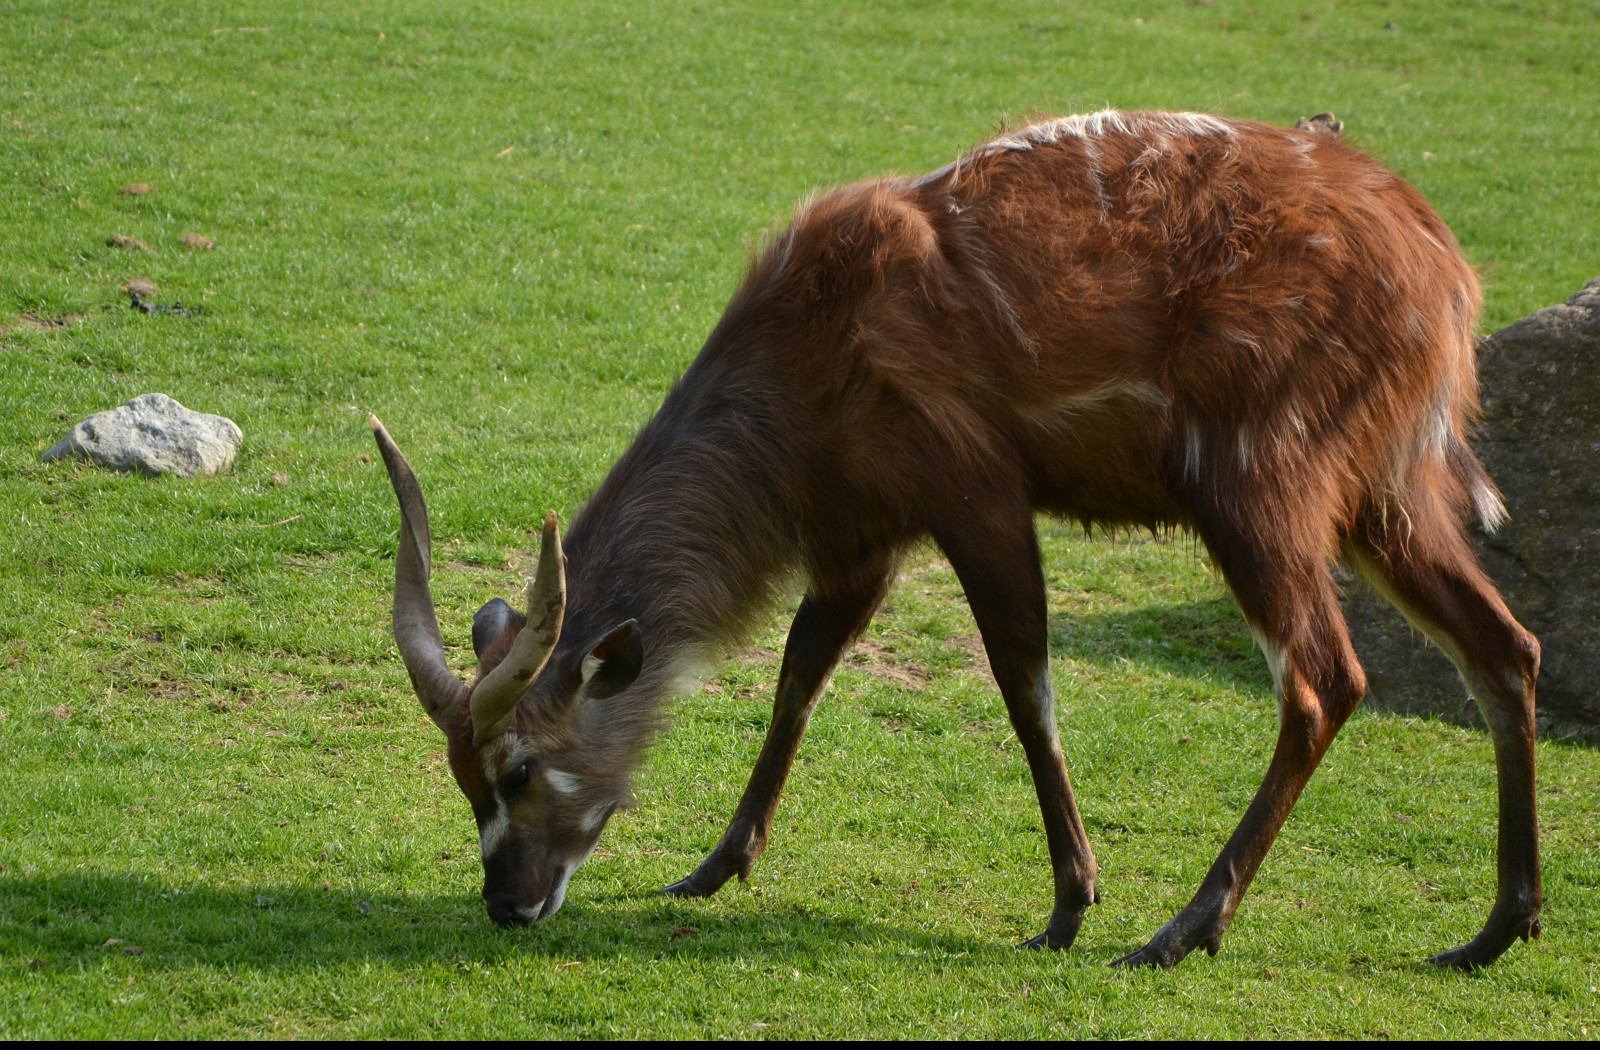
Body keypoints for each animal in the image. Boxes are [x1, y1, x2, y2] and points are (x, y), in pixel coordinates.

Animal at [368, 108, 1542, 966]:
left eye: (519, 766)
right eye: (462, 777)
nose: (508, 902)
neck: (807, 358)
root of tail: (1446, 274)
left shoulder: (972, 492)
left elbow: (1024, 686)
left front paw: (1069, 906)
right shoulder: (864, 538)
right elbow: (799, 674)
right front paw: (711, 866)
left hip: (1260, 488)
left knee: (1325, 678)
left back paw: (1180, 930)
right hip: (1386, 500)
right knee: (1505, 647)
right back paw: (1493, 930)